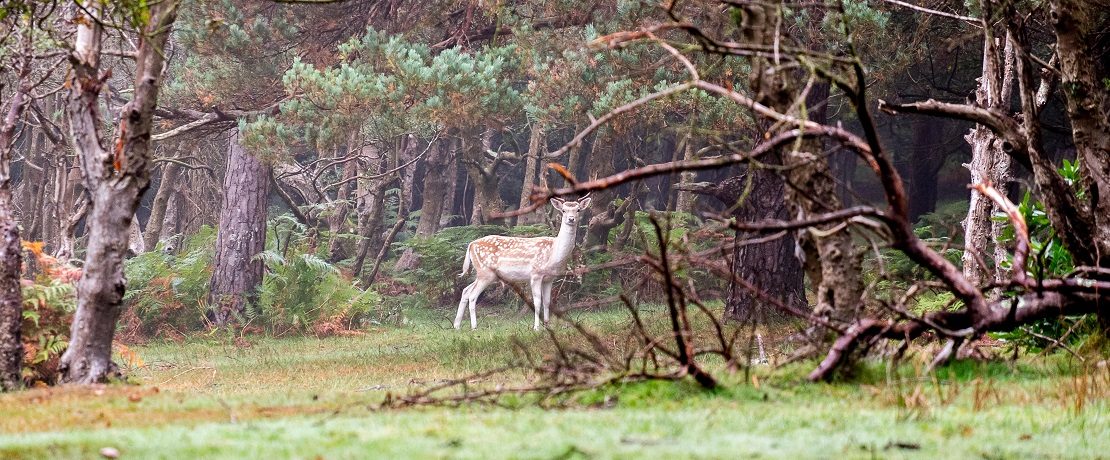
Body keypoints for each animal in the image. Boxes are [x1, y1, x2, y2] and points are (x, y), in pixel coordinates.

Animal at [452, 195, 594, 328]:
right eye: (564, 210)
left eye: (578, 210)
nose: (571, 218)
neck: (553, 253)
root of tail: (471, 244)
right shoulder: (536, 274)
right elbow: (537, 302)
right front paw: (536, 327)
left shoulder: (549, 278)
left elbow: (547, 302)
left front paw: (547, 324)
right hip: (485, 272)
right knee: (472, 295)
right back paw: (474, 326)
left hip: (484, 274)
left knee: (465, 291)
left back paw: (457, 325)